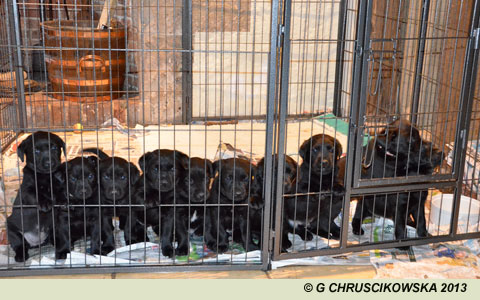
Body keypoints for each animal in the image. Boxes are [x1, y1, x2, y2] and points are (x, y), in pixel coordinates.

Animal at [7, 132, 65, 262]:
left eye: (54, 148)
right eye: (36, 151)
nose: (49, 163)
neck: (46, 176)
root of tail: (35, 243)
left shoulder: (58, 184)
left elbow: (59, 192)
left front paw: (64, 201)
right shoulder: (26, 190)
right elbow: (35, 194)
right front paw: (45, 203)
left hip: (53, 227)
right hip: (12, 229)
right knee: (19, 244)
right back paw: (20, 255)